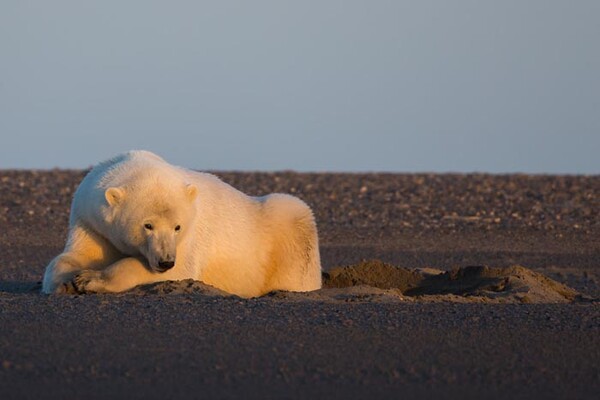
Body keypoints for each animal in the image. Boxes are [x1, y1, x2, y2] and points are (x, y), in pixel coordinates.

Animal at [41, 150, 324, 296]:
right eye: (148, 225)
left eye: (177, 227)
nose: (165, 261)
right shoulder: (90, 219)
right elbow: (77, 255)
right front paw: (65, 282)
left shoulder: (189, 236)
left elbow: (179, 270)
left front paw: (90, 280)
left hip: (286, 229)